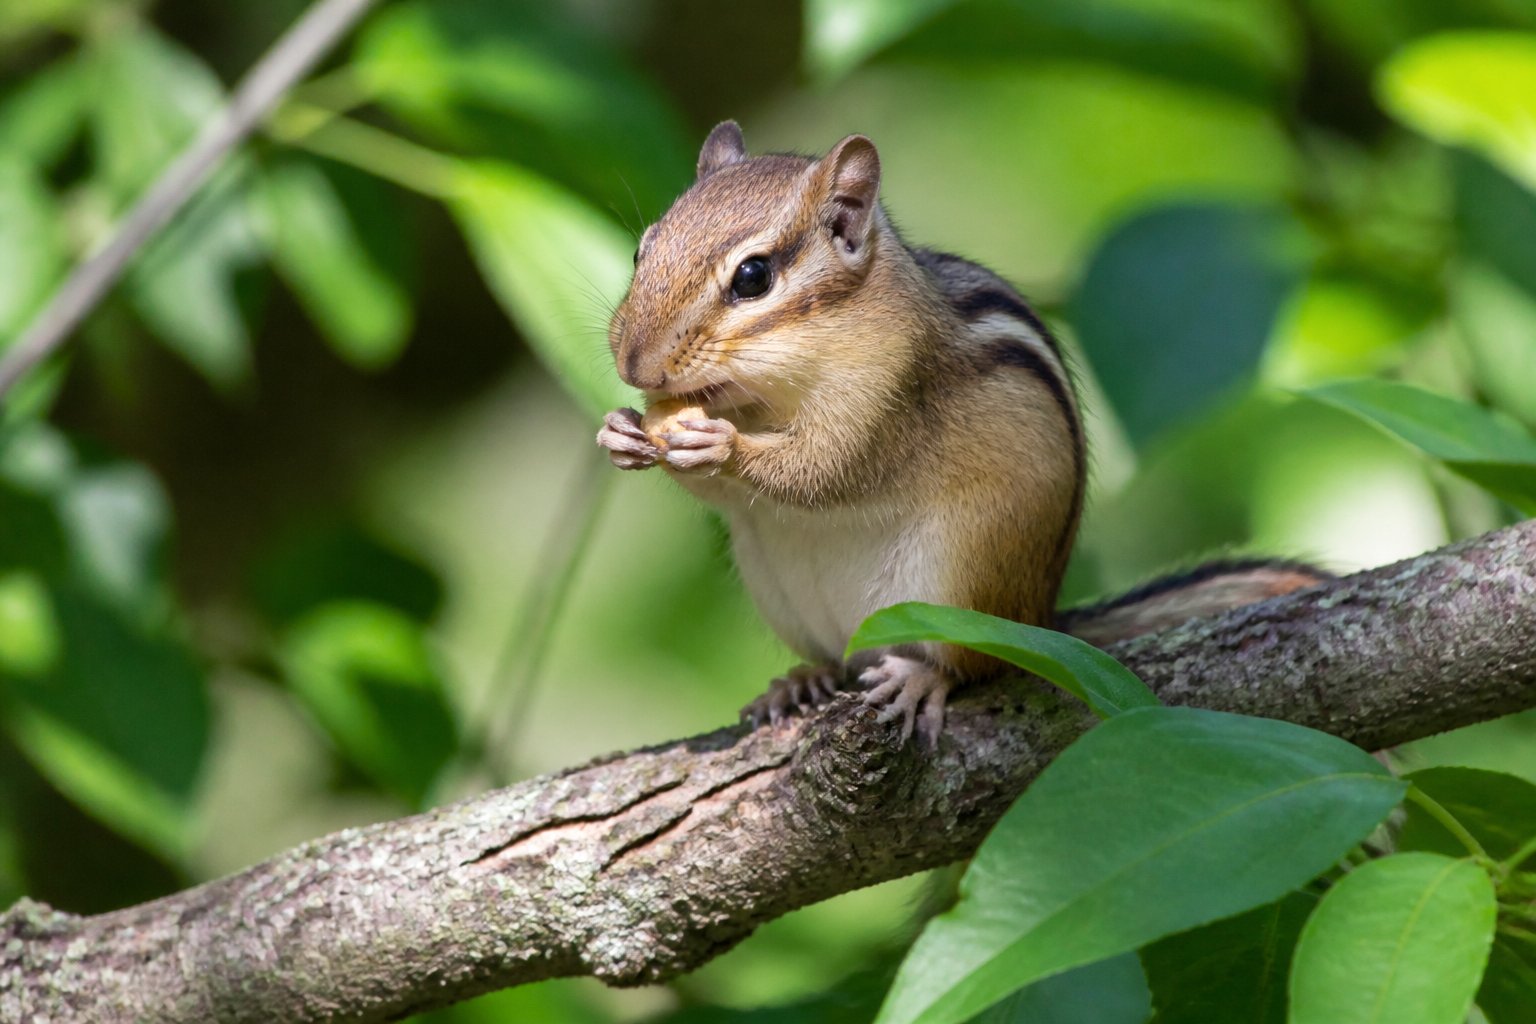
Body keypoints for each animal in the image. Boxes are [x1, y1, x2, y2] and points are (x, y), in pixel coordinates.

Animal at [597, 121, 1328, 744]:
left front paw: (716, 445)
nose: (634, 364)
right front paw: (621, 433)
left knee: (974, 667)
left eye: (753, 277)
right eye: (641, 249)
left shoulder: (886, 398)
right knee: (837, 659)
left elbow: (821, 472)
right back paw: (799, 680)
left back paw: (921, 678)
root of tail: (1038, 618)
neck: (765, 394)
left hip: (963, 575)